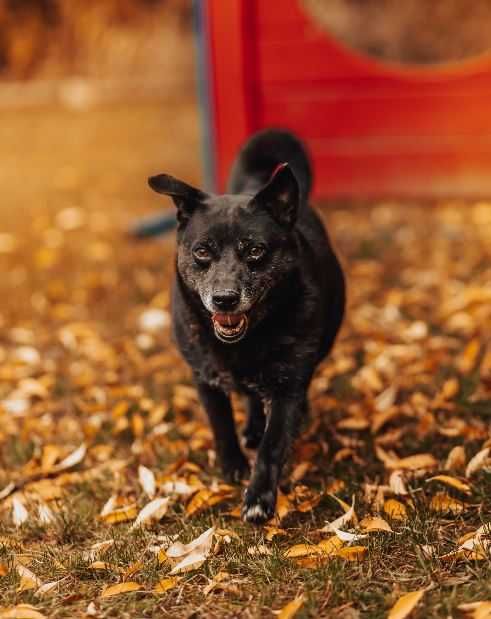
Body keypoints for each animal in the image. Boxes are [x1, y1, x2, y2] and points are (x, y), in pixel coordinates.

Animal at [148, 130, 344, 524]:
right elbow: (221, 425)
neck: (243, 341)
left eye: (255, 250)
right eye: (202, 251)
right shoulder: (205, 379)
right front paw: (233, 465)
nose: (224, 299)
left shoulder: (288, 386)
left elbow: (273, 446)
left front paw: (259, 498)